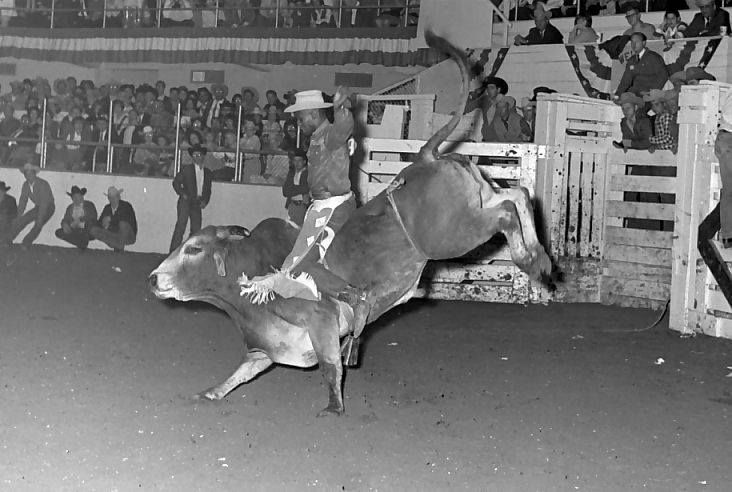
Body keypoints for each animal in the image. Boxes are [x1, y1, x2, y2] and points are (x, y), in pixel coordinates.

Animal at [149, 32, 553, 416]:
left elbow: (332, 366)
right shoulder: (267, 348)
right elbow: (240, 374)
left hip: (452, 235)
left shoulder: (321, 321)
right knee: (517, 194)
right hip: (473, 205)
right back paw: (539, 258)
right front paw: (209, 393)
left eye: (193, 248)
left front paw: (334, 407)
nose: (153, 278)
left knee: (507, 209)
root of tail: (424, 157)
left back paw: (533, 260)